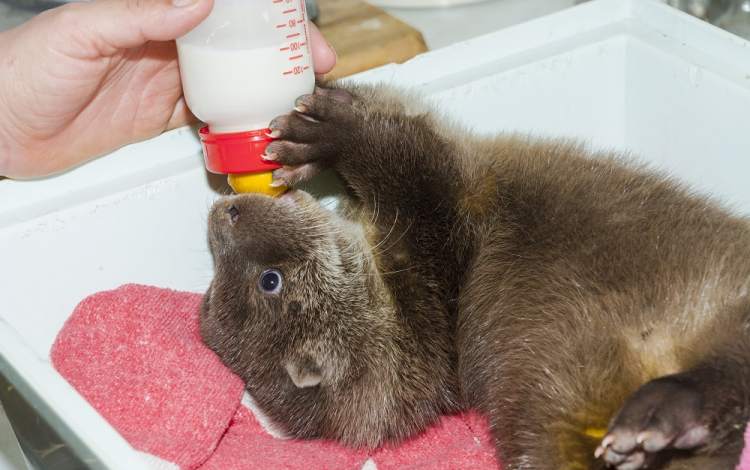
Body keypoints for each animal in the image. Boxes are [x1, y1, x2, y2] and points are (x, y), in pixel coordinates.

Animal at [200, 83, 750, 470]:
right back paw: (661, 419)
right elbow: (407, 156)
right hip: (547, 398)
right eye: (269, 280)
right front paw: (333, 133)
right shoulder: (443, 236)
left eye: (212, 291)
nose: (223, 214)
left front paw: (316, 126)